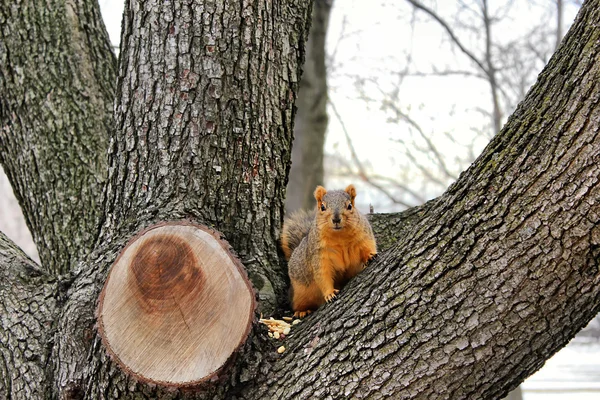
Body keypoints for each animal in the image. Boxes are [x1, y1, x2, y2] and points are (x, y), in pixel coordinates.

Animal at [280, 184, 376, 318]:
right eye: (322, 207)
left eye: (350, 206)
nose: (336, 219)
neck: (339, 236)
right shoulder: (319, 255)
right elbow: (323, 274)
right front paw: (330, 293)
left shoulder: (363, 237)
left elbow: (369, 247)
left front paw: (370, 255)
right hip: (299, 293)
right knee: (298, 304)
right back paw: (302, 311)